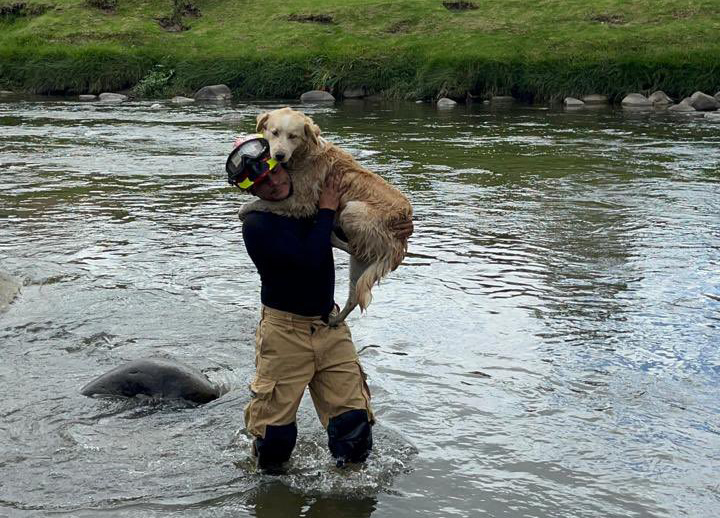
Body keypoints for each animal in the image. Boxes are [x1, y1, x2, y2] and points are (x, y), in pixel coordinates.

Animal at [239, 107, 414, 328]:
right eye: (274, 132)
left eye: (293, 136)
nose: (279, 156)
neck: (303, 155)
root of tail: (401, 240)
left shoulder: (300, 201)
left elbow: (263, 203)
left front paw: (244, 209)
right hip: (360, 264)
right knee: (354, 294)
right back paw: (335, 319)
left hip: (352, 210)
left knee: (353, 248)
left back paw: (331, 237)